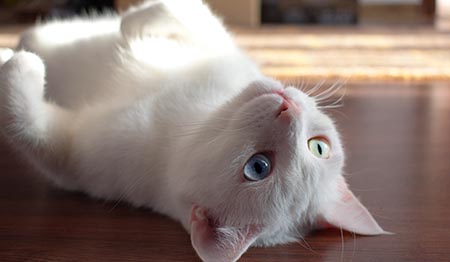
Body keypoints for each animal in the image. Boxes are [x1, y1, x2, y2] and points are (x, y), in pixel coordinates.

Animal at [0, 1, 386, 260]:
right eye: (319, 146)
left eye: (258, 167)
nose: (286, 107)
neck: (191, 116)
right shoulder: (217, 47)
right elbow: (189, 16)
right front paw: (133, 24)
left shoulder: (73, 155)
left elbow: (26, 123)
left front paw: (19, 63)